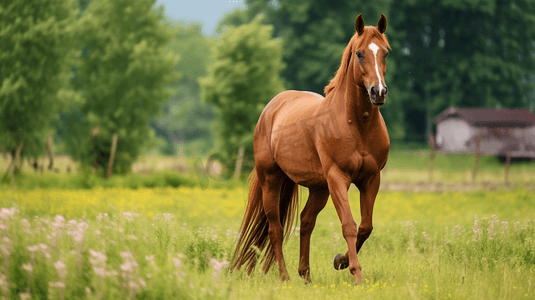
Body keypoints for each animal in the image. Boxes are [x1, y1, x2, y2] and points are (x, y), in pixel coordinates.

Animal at [232, 14, 392, 284]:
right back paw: (285, 277)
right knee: (275, 229)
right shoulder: (338, 177)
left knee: (306, 222)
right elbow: (349, 225)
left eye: (385, 53)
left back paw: (305, 276)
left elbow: (365, 227)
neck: (356, 124)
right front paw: (356, 273)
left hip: (319, 188)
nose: (378, 92)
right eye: (359, 53)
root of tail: (272, 108)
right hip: (272, 180)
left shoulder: (371, 179)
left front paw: (340, 260)